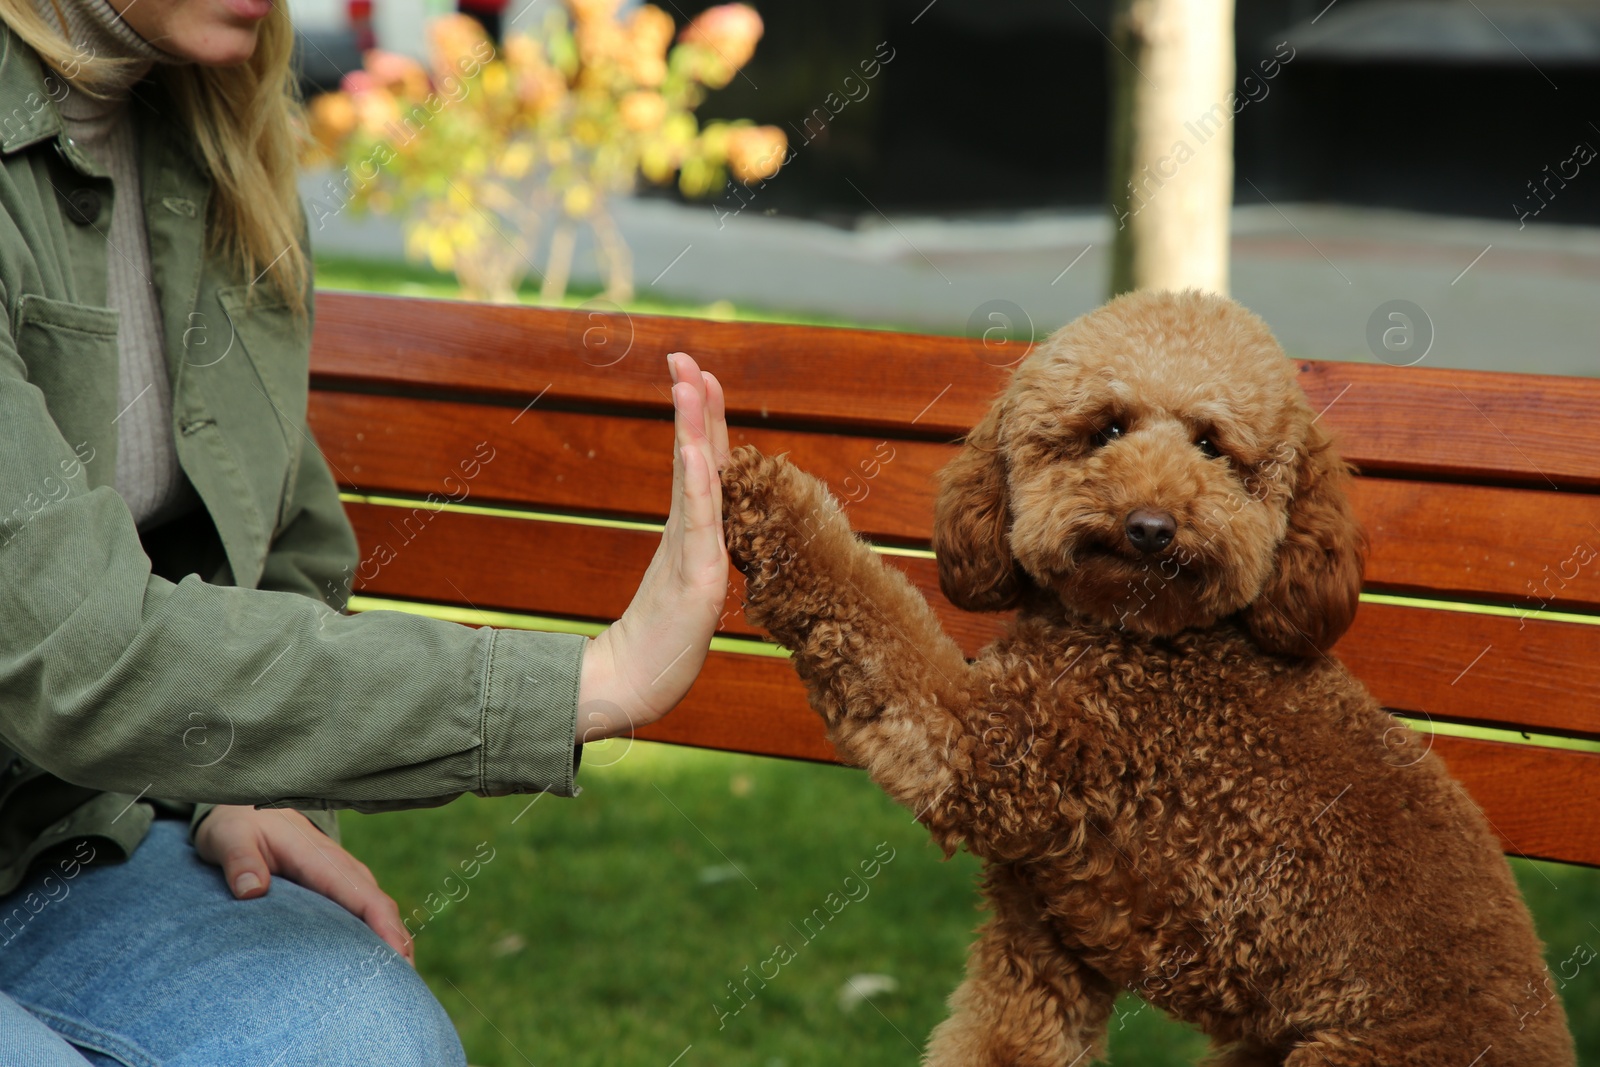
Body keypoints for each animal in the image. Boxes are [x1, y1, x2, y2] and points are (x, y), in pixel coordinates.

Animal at [723, 287, 1574, 1062]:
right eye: (1106, 427)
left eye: (1214, 446)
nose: (1151, 528)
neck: (1150, 639)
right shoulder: (1038, 946)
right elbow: (1002, 1039)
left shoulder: (997, 751)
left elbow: (874, 614)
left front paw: (766, 491)